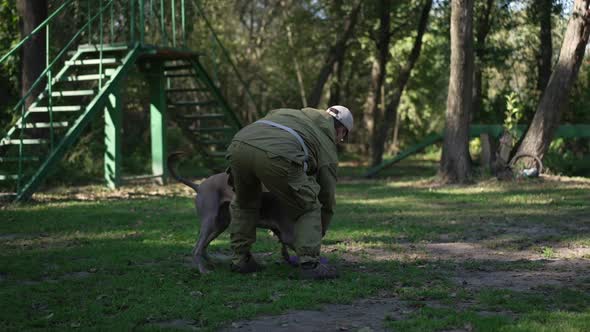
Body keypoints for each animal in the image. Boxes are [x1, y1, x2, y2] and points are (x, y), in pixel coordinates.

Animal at [166, 152, 298, 274]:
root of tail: (199, 186)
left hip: (221, 224)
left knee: (203, 247)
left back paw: (214, 264)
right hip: (209, 221)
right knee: (196, 249)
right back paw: (204, 271)